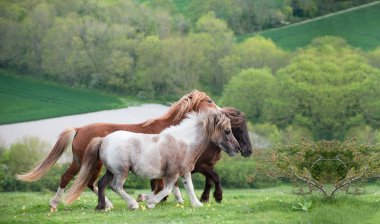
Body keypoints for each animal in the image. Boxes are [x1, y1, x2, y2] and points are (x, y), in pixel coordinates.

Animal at [16, 89, 218, 212]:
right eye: (209, 100)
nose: (220, 111)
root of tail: (79, 129)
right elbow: (163, 185)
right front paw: (148, 199)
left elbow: (169, 184)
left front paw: (175, 200)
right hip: (91, 162)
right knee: (81, 180)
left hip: (82, 161)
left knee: (81, 180)